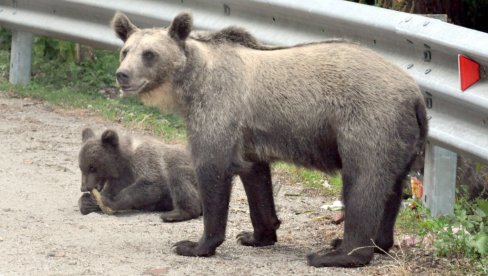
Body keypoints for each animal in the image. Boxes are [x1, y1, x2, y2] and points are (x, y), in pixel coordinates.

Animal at [110, 11, 428, 268]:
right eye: (125, 51)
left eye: (149, 54)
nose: (122, 75)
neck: (189, 84)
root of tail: (416, 95)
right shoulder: (249, 136)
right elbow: (256, 179)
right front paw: (255, 234)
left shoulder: (218, 110)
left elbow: (213, 171)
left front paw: (194, 245)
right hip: (402, 139)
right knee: (392, 188)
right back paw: (375, 244)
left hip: (368, 122)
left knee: (363, 182)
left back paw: (336, 254)